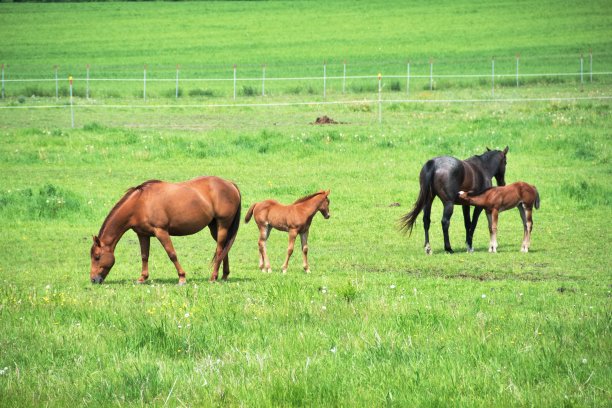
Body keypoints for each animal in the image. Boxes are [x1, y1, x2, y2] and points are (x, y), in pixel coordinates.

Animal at [89, 175, 241, 284]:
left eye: (97, 257)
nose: (94, 280)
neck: (140, 203)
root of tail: (230, 184)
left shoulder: (161, 231)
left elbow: (172, 254)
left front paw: (182, 278)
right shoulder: (143, 235)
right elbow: (144, 256)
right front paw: (142, 278)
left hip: (223, 224)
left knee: (220, 248)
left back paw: (213, 277)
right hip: (214, 226)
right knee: (224, 249)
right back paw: (224, 276)